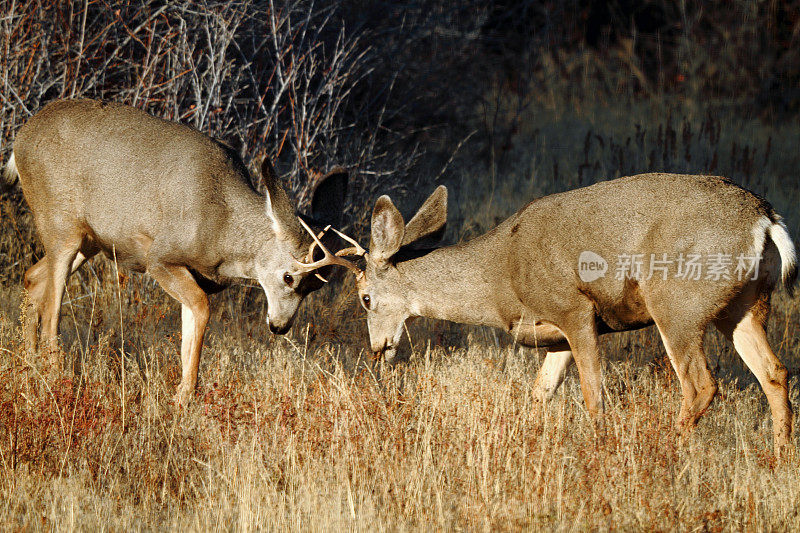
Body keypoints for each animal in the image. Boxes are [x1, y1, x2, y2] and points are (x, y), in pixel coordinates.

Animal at [3, 97, 346, 402]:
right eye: (289, 277)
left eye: (314, 287)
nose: (280, 326)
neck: (222, 229)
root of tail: (20, 139)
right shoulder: (160, 256)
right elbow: (202, 307)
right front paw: (185, 394)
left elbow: (190, 323)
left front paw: (181, 392)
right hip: (60, 223)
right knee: (52, 308)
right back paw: (55, 376)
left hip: (89, 240)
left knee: (33, 277)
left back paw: (28, 365)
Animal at [324, 174, 792, 454]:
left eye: (365, 298)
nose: (376, 348)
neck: (501, 279)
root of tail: (764, 220)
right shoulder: (553, 334)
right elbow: (540, 392)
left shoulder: (575, 309)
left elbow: (591, 392)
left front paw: (598, 447)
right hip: (746, 304)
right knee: (774, 371)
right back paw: (781, 455)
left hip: (676, 302)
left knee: (700, 384)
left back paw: (668, 448)